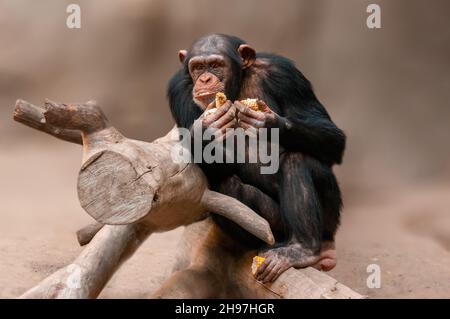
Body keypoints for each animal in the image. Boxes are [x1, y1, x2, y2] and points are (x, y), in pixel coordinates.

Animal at [167, 34, 346, 282]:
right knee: (226, 185)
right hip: (276, 230)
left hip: (329, 220)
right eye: (197, 67)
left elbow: (333, 137)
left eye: (215, 65)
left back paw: (303, 250)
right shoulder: (179, 90)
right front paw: (205, 129)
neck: (236, 89)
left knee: (298, 159)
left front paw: (271, 123)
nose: (204, 78)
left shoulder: (286, 76)